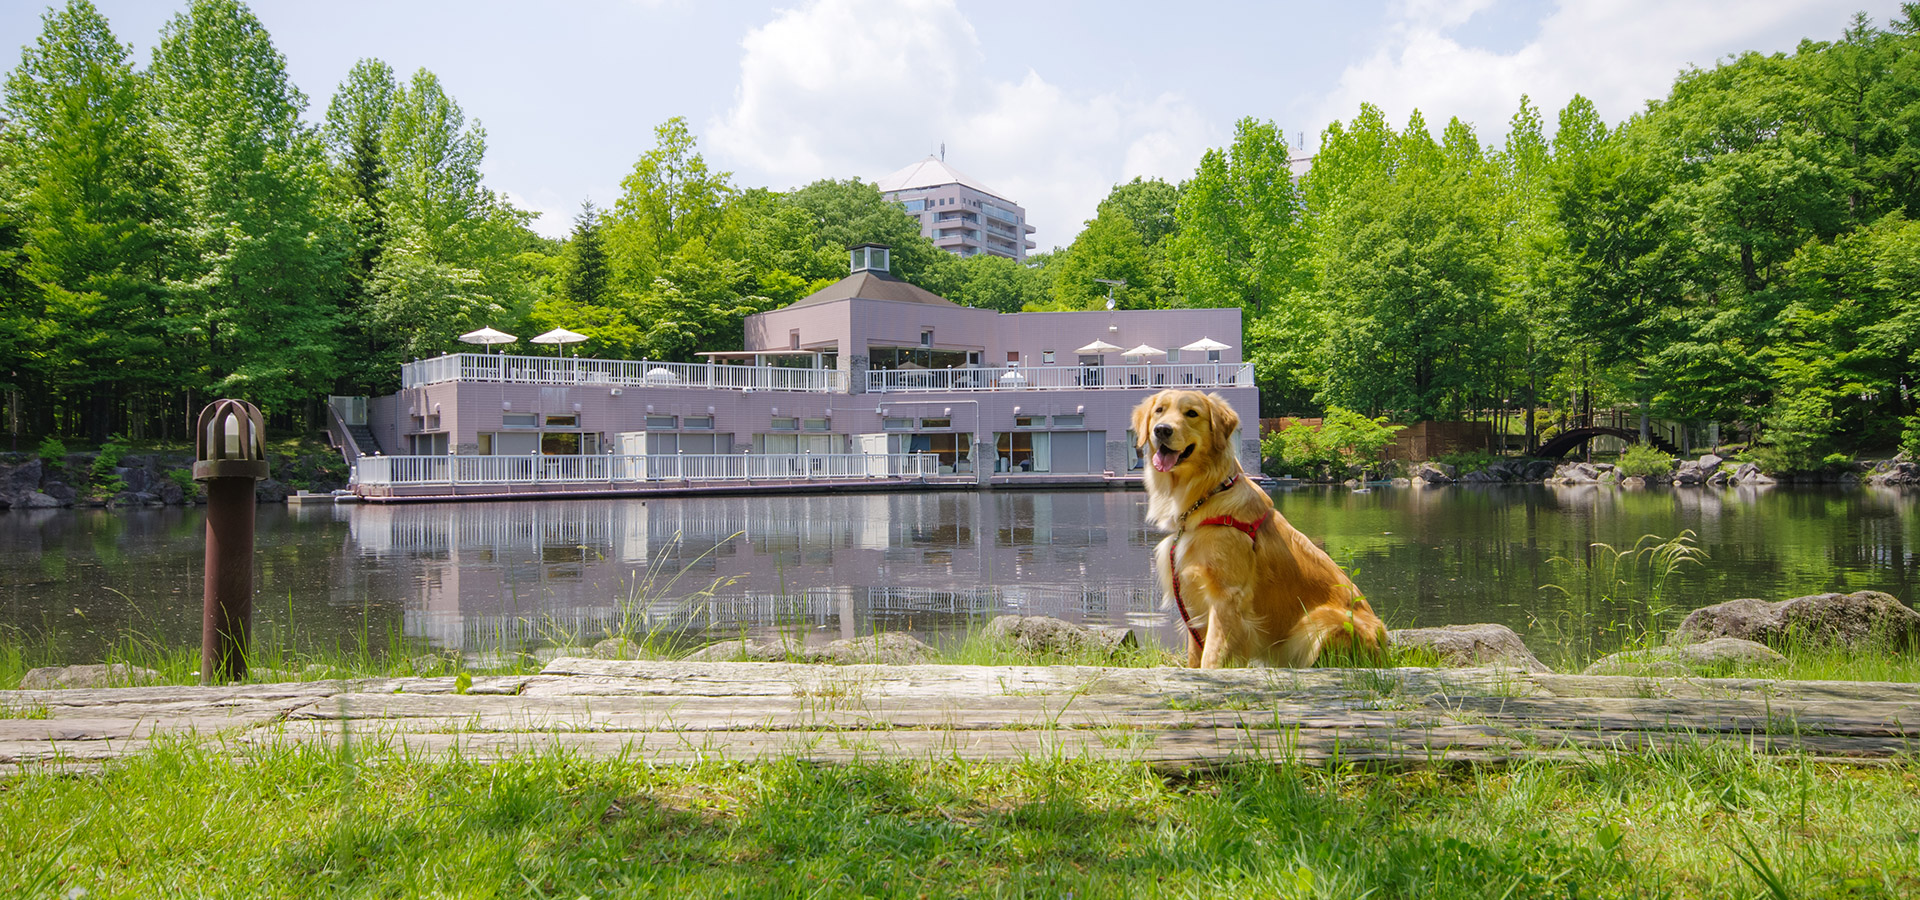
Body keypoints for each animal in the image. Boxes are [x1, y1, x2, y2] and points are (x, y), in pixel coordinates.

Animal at [1128, 387, 1390, 667]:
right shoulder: (1194, 600)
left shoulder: (1227, 598)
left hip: (1321, 621)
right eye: (1159, 411)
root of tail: (1384, 649)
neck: (1207, 495)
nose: (1162, 430)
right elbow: (1195, 657)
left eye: (1192, 413)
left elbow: (1212, 656)